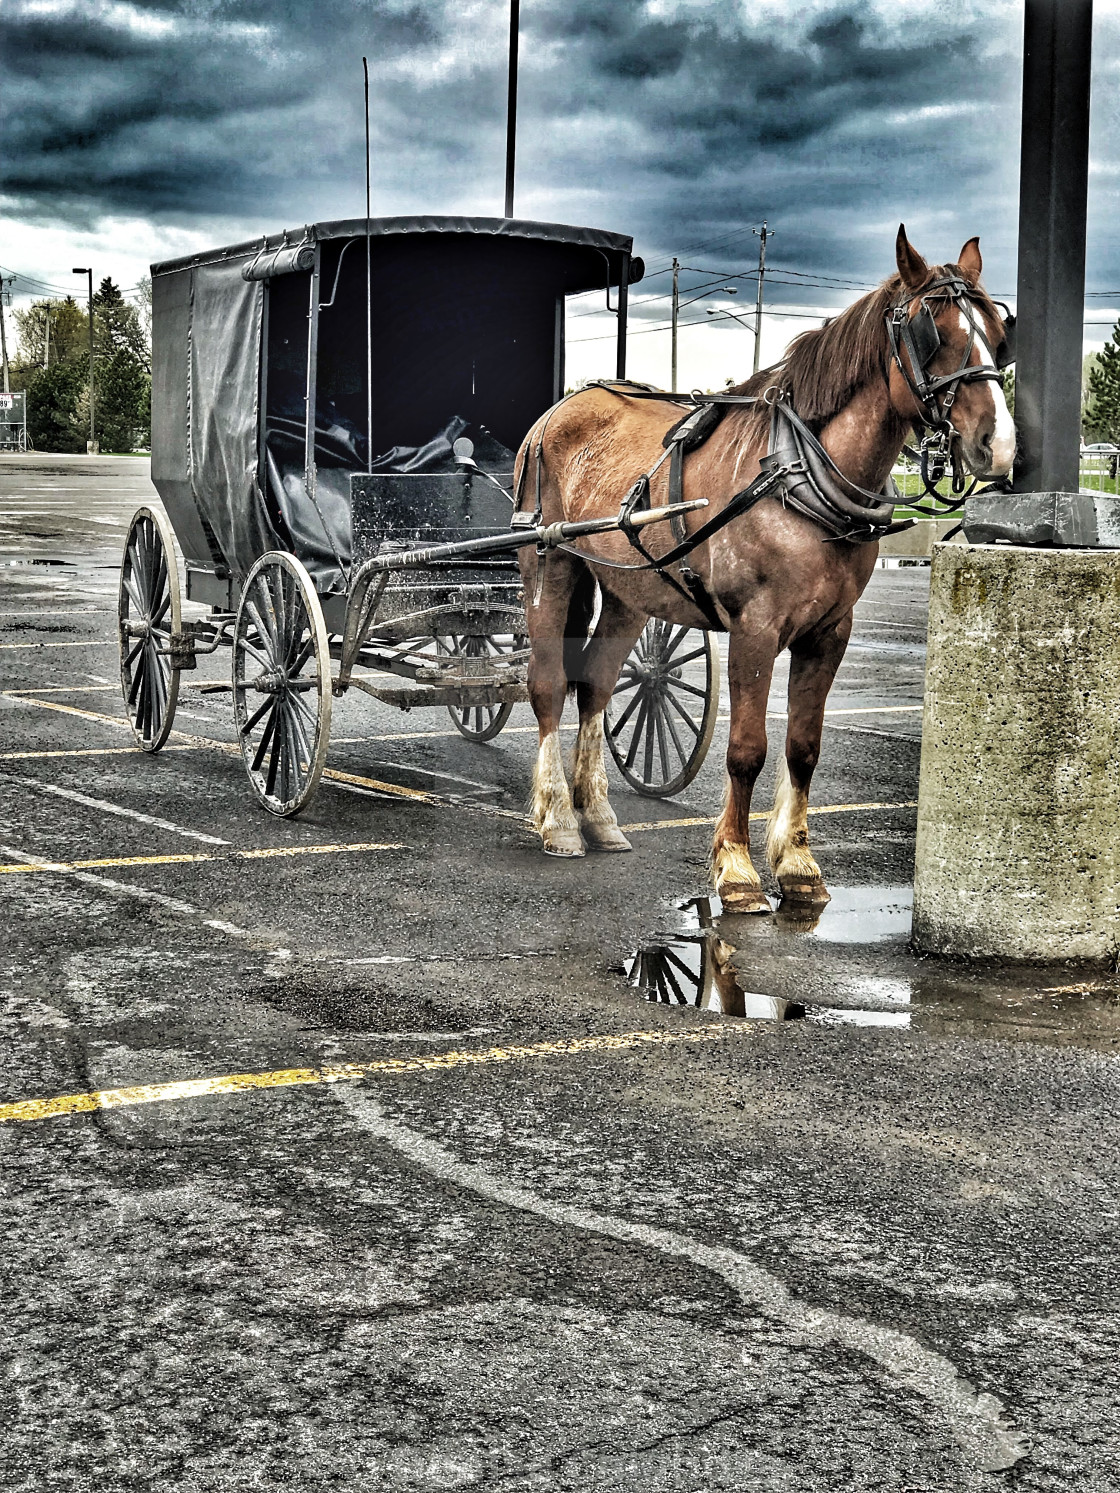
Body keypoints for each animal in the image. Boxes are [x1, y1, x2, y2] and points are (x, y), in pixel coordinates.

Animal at [516, 226, 1015, 907]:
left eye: (996, 330)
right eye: (932, 332)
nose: (1001, 445)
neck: (797, 472)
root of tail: (562, 408)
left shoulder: (829, 632)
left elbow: (803, 747)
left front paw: (798, 865)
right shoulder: (754, 628)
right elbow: (746, 749)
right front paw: (736, 867)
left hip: (628, 588)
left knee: (593, 683)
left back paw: (598, 817)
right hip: (550, 564)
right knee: (547, 685)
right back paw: (560, 820)